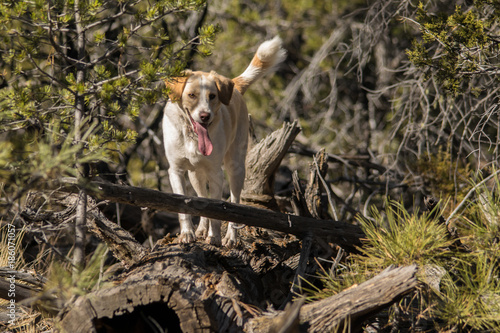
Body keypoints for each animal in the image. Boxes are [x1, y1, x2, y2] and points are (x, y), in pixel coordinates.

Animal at [161, 36, 286, 245]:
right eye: (192, 95)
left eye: (212, 96)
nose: (205, 116)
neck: (191, 137)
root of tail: (234, 85)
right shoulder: (176, 170)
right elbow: (185, 207)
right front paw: (187, 233)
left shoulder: (216, 173)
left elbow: (217, 212)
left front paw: (215, 237)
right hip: (196, 175)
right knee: (202, 197)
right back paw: (201, 230)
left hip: (235, 167)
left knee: (235, 203)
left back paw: (230, 237)